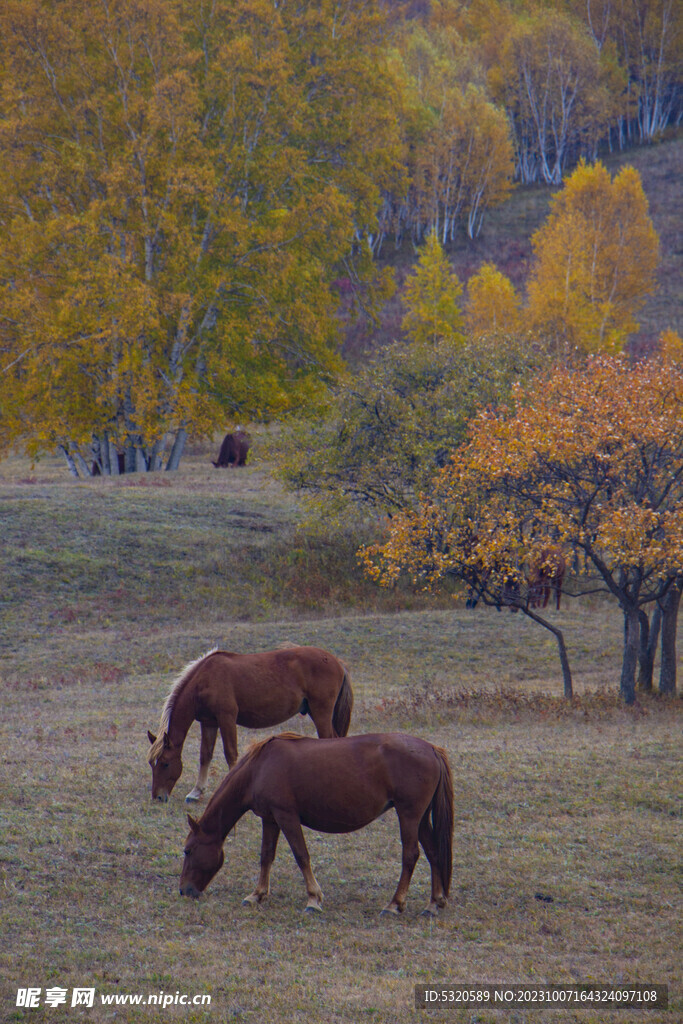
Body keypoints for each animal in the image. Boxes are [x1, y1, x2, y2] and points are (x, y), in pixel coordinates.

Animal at [148, 647, 352, 806]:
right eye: (152, 764)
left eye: (165, 763)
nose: (157, 797)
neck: (205, 679)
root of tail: (337, 662)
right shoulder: (208, 722)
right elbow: (205, 755)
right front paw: (196, 792)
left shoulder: (227, 718)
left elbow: (231, 754)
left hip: (321, 712)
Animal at [180, 733, 454, 917]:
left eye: (188, 850)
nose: (184, 890)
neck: (260, 768)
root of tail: (432, 749)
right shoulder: (270, 819)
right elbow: (266, 856)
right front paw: (256, 895)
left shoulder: (286, 816)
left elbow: (301, 855)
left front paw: (313, 899)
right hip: (420, 819)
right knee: (433, 853)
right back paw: (433, 903)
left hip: (408, 815)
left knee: (411, 855)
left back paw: (394, 904)